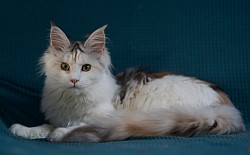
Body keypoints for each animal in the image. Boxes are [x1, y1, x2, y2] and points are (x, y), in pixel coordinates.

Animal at [10, 22, 246, 142]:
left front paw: (59, 133)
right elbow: (44, 125)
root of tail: (227, 106)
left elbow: (79, 124)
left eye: (86, 68)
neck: (73, 102)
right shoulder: (58, 116)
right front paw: (23, 129)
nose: (75, 80)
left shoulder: (106, 115)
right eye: (65, 67)